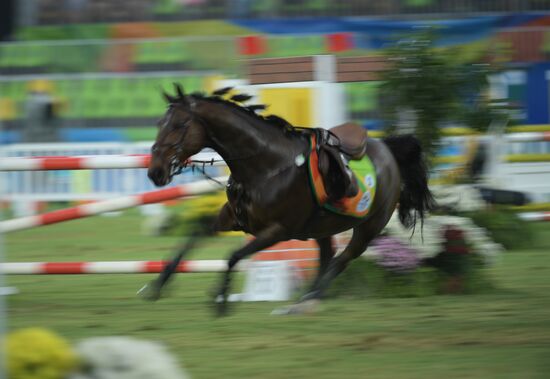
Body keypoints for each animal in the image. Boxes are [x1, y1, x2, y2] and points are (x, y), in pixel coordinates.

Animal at [147, 85, 436, 314]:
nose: (155, 172)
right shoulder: (234, 219)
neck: (265, 167)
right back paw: (304, 301)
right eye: (160, 124)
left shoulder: (277, 231)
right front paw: (159, 283)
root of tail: (387, 148)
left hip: (369, 227)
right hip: (322, 227)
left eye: (179, 125)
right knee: (328, 256)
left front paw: (221, 299)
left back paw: (308, 300)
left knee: (342, 259)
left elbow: (233, 255)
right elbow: (193, 236)